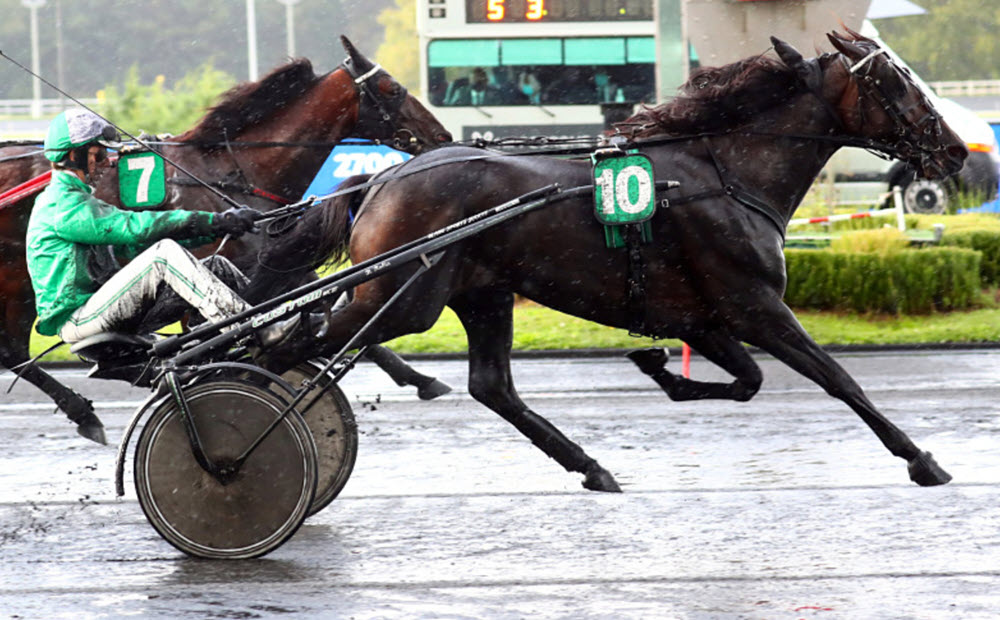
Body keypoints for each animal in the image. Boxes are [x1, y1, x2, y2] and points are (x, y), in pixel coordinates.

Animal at [0, 36, 454, 438]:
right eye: (392, 88)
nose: (442, 136)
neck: (233, 171)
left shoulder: (267, 265)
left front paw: (415, 375)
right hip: (16, 277)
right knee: (12, 350)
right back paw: (83, 410)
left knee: (13, 349)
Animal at [250, 31, 968, 492]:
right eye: (896, 82)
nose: (957, 150)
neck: (724, 173)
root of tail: (381, 180)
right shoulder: (755, 306)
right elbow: (840, 380)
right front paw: (921, 460)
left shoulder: (704, 317)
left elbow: (747, 381)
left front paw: (661, 371)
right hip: (402, 298)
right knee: (284, 346)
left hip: (481, 292)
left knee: (492, 386)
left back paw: (591, 467)